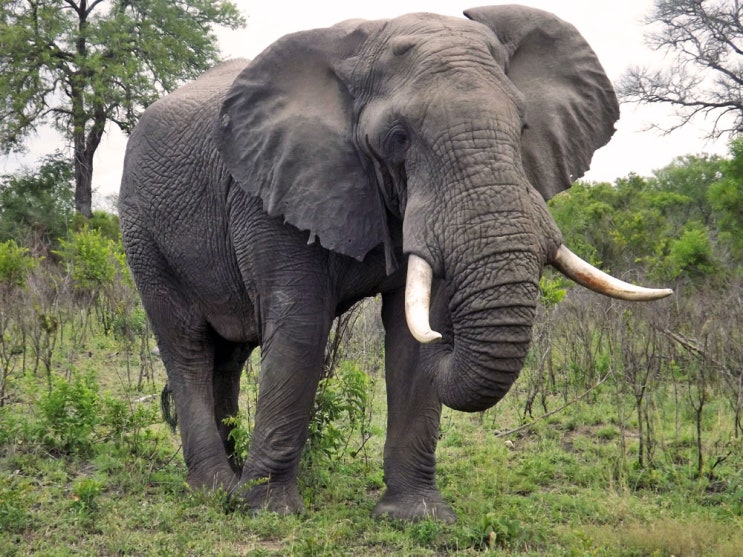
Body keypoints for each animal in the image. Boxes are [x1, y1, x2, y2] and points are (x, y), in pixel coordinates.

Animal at [119, 4, 672, 520]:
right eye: (398, 137)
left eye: (523, 127)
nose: (449, 341)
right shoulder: (272, 189)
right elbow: (300, 331)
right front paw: (267, 511)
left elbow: (410, 339)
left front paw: (416, 516)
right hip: (141, 231)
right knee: (187, 344)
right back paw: (214, 488)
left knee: (229, 353)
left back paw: (232, 478)